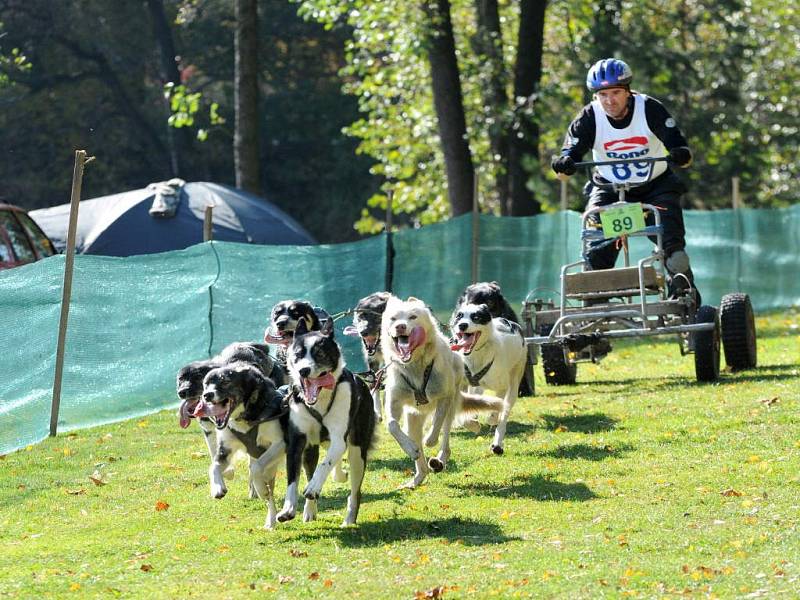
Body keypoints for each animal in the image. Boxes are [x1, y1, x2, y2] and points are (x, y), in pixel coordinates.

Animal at [195, 360, 290, 524]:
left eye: (225, 381)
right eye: (206, 385)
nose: (207, 395)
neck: (245, 417)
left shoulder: (279, 443)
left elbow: (256, 469)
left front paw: (260, 489)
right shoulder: (225, 450)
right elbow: (213, 467)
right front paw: (217, 488)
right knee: (270, 496)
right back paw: (270, 521)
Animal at [342, 292, 392, 422]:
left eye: (374, 316)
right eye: (360, 317)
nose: (363, 332)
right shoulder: (372, 363)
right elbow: (374, 384)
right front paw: (377, 411)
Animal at [380, 296, 500, 488]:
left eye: (412, 317)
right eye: (393, 318)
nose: (400, 327)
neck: (415, 367)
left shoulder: (445, 396)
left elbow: (437, 420)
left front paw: (430, 439)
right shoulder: (394, 401)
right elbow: (392, 425)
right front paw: (410, 448)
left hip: (452, 401)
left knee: (446, 437)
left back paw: (439, 459)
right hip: (413, 419)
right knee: (419, 454)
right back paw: (417, 477)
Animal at [454, 304, 528, 454]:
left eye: (476, 317)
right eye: (459, 316)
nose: (462, 325)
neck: (476, 355)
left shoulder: (502, 386)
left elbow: (498, 405)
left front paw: (492, 418)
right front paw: (472, 424)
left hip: (514, 381)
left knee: (504, 414)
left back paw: (497, 443)